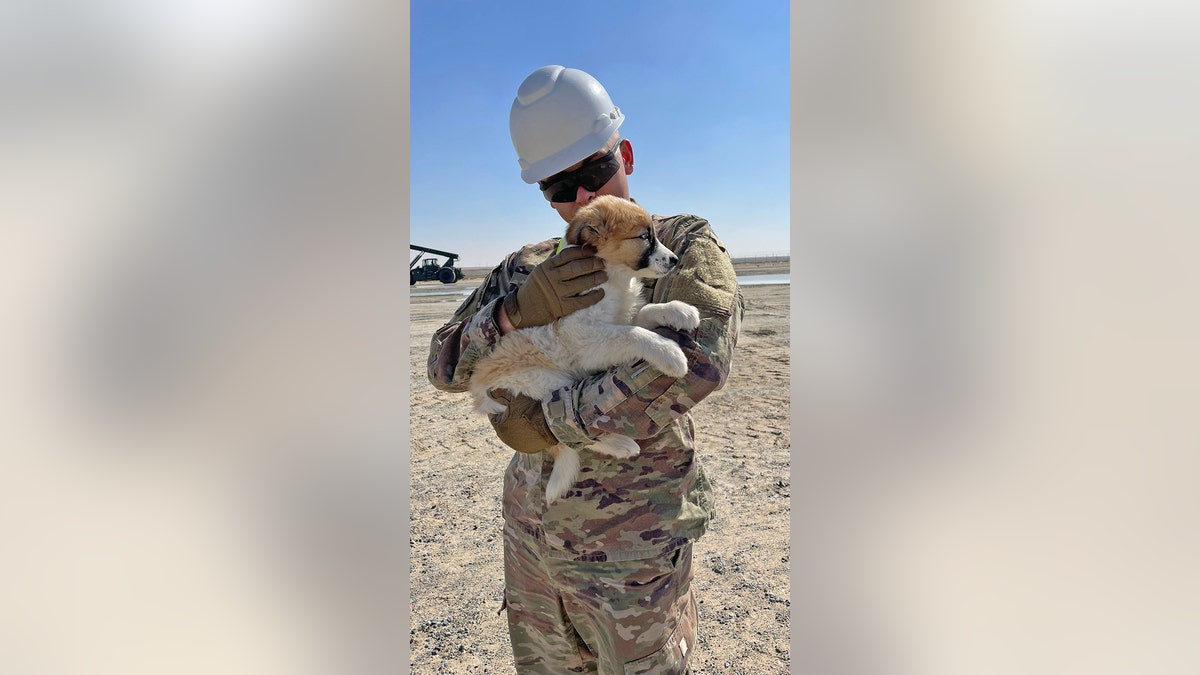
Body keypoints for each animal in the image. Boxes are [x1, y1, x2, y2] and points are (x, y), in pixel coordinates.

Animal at [465, 193, 700, 499]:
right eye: (644, 237)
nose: (674, 260)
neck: (614, 278)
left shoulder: (621, 317)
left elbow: (645, 314)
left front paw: (680, 310)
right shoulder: (586, 339)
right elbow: (633, 334)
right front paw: (670, 353)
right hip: (545, 381)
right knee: (567, 432)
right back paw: (620, 444)